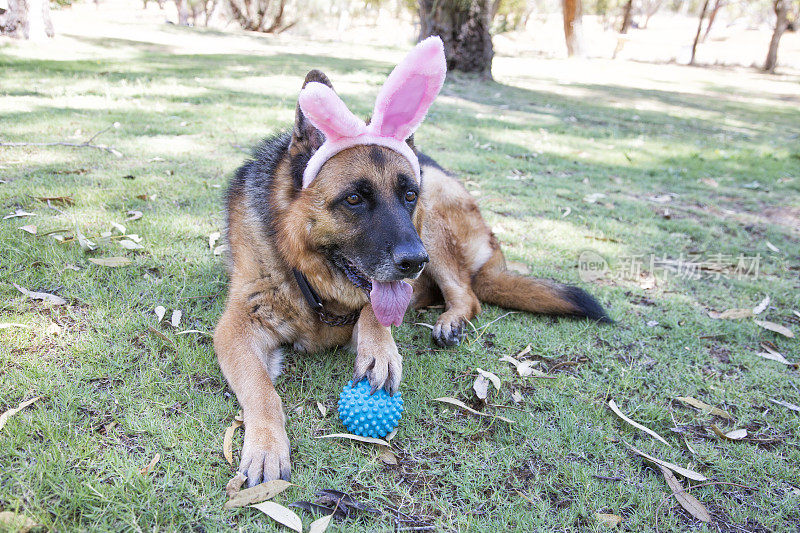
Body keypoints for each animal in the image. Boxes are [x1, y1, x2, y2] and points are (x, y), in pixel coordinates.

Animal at [212, 68, 608, 484]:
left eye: (408, 195)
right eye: (354, 199)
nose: (416, 261)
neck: (312, 280)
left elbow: (375, 311)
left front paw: (380, 351)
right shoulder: (236, 328)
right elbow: (262, 389)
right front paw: (266, 445)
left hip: (433, 217)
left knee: (469, 296)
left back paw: (450, 321)